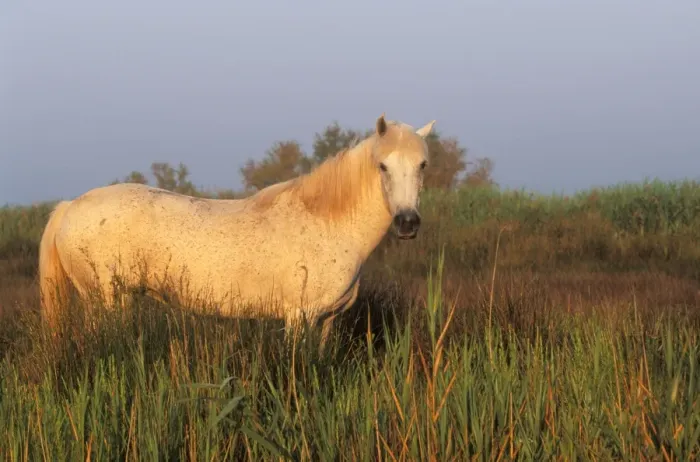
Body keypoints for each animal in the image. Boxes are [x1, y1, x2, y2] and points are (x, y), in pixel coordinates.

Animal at [38, 113, 436, 351]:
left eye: (423, 165)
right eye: (382, 166)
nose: (407, 223)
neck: (327, 222)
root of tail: (70, 206)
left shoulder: (327, 320)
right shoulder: (299, 317)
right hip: (105, 302)